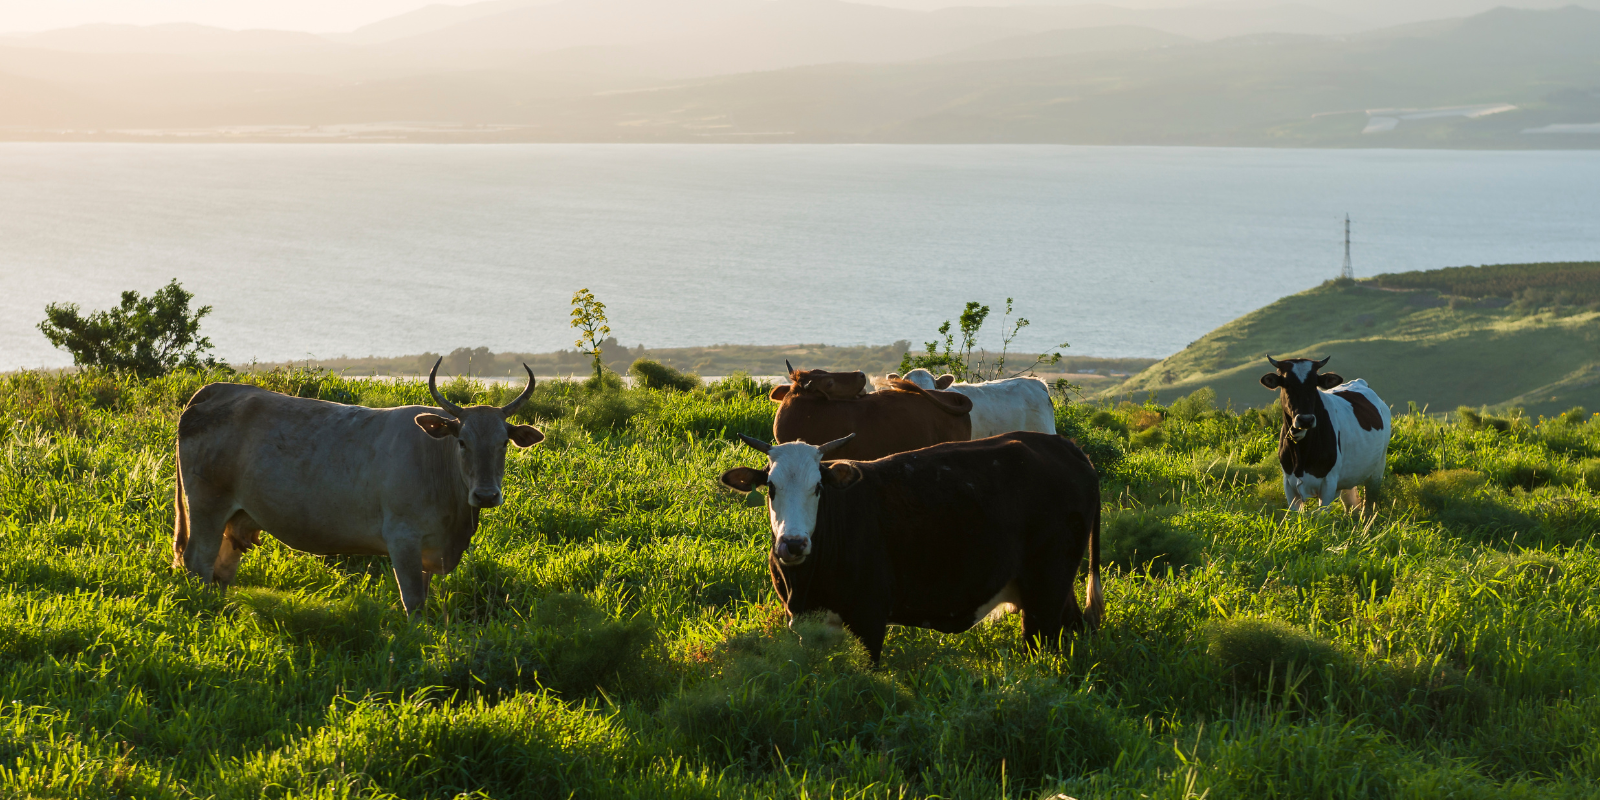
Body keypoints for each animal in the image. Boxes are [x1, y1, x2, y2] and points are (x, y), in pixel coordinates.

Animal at [171, 358, 543, 614]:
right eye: (462, 442)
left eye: (503, 443)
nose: (486, 495)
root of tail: (221, 389)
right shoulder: (403, 539)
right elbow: (414, 601)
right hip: (206, 506)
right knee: (198, 561)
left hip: (236, 516)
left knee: (221, 569)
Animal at [719, 430, 1102, 663]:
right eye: (770, 487)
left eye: (818, 487)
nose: (794, 543)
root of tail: (1065, 446)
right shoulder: (802, 621)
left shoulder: (869, 619)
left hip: (1045, 593)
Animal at [1260, 356, 1391, 511]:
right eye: (1286, 384)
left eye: (1314, 385)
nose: (1306, 419)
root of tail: (1359, 382)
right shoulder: (1289, 485)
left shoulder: (1328, 484)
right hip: (1347, 479)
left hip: (1378, 468)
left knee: (1370, 504)